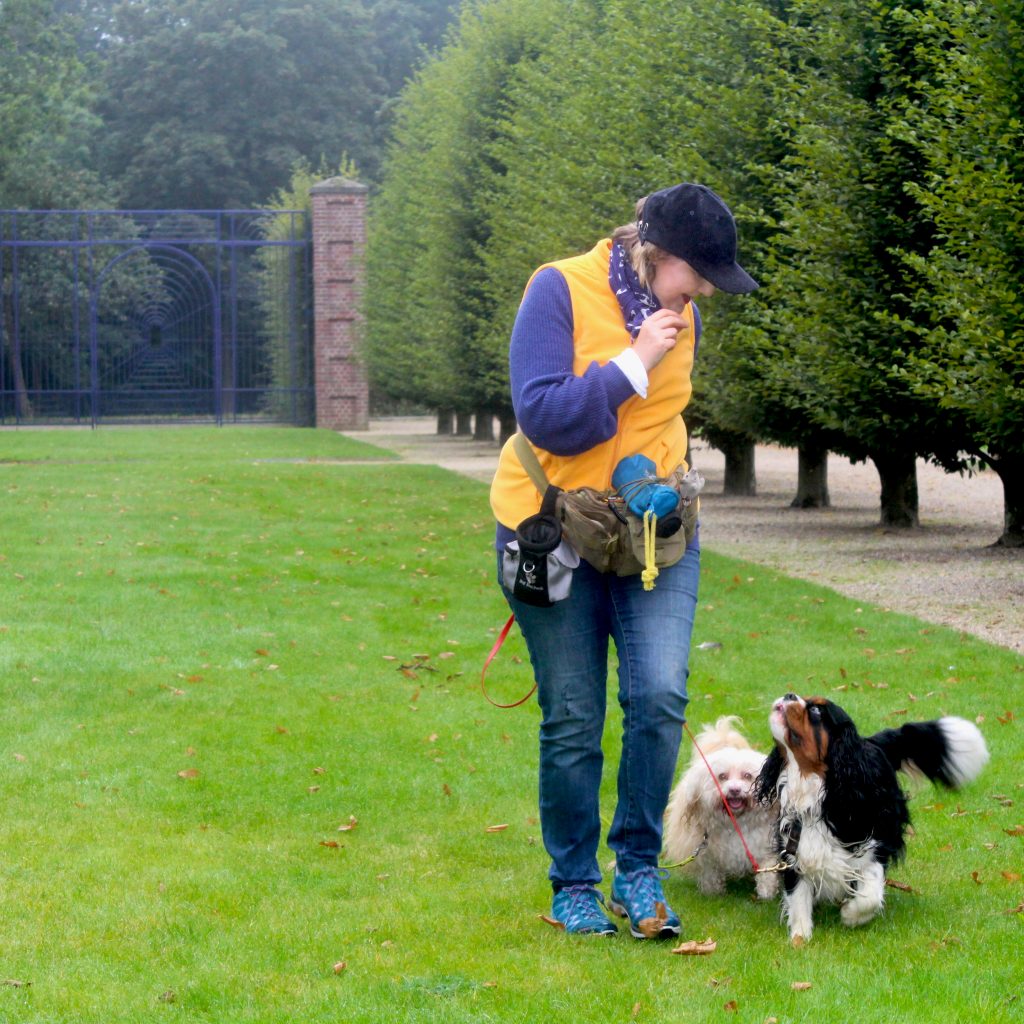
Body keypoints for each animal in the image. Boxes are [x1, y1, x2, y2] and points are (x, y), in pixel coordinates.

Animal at [663, 716, 774, 901]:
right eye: (722, 776)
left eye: (747, 776)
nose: (734, 790)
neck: (735, 823)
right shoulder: (705, 853)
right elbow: (710, 873)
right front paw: (712, 893)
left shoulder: (766, 846)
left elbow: (768, 870)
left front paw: (767, 892)